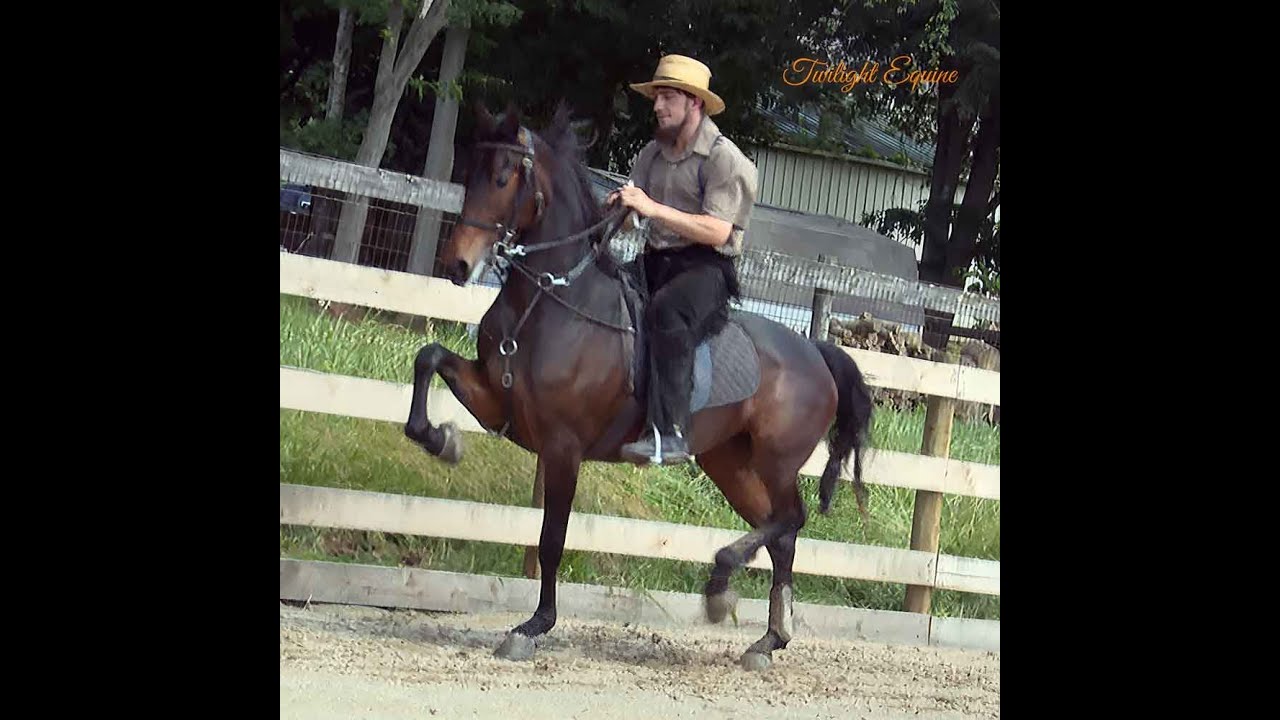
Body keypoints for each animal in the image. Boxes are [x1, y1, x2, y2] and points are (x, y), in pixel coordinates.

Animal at [403, 101, 874, 671]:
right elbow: (428, 359)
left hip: (776, 460)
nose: (457, 264)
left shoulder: (563, 446)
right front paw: (442, 440)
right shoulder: (498, 403)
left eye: (502, 177)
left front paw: (534, 626)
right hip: (730, 463)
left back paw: (723, 583)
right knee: (780, 532)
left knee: (792, 517)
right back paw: (765, 636)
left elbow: (552, 539)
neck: (553, 300)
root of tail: (815, 352)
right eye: (466, 172)